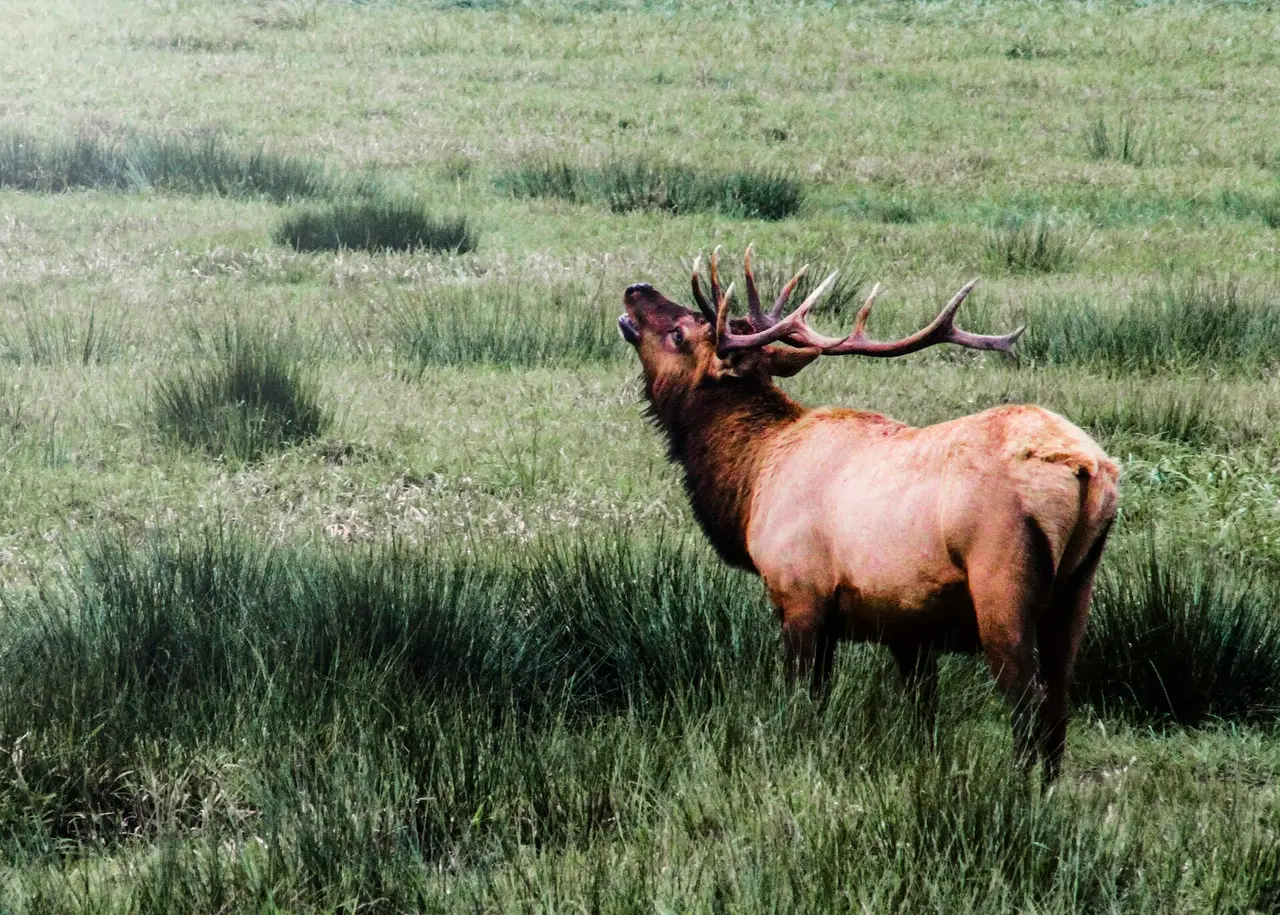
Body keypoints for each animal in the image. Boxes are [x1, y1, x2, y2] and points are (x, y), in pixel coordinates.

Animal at [617, 246, 1119, 781]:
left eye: (681, 333)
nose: (636, 288)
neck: (750, 484)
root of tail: (1086, 467)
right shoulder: (908, 626)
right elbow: (922, 716)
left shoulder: (800, 593)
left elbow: (805, 700)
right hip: (1076, 591)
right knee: (1060, 704)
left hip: (1002, 584)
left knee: (1027, 705)